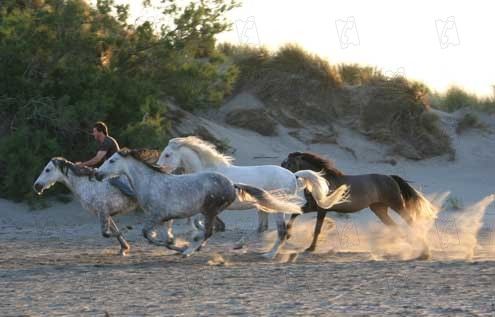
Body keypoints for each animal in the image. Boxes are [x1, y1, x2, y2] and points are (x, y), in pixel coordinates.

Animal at [32, 157, 174, 256]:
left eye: (47, 170)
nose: (36, 186)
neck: (87, 186)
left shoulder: (103, 212)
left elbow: (106, 234)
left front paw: (127, 232)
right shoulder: (106, 214)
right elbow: (112, 230)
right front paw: (124, 248)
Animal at [94, 149, 304, 256]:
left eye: (112, 160)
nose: (97, 174)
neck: (151, 182)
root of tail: (232, 184)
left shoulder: (157, 215)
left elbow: (149, 235)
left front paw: (180, 247)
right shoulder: (163, 218)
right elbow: (163, 237)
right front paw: (176, 245)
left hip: (211, 210)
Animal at [280, 151, 440, 260]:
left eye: (287, 163)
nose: (283, 172)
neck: (321, 181)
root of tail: (390, 177)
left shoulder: (321, 209)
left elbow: (317, 228)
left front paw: (311, 248)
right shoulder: (311, 206)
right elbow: (295, 213)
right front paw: (287, 235)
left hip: (397, 205)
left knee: (410, 222)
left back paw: (424, 253)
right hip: (379, 209)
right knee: (394, 226)